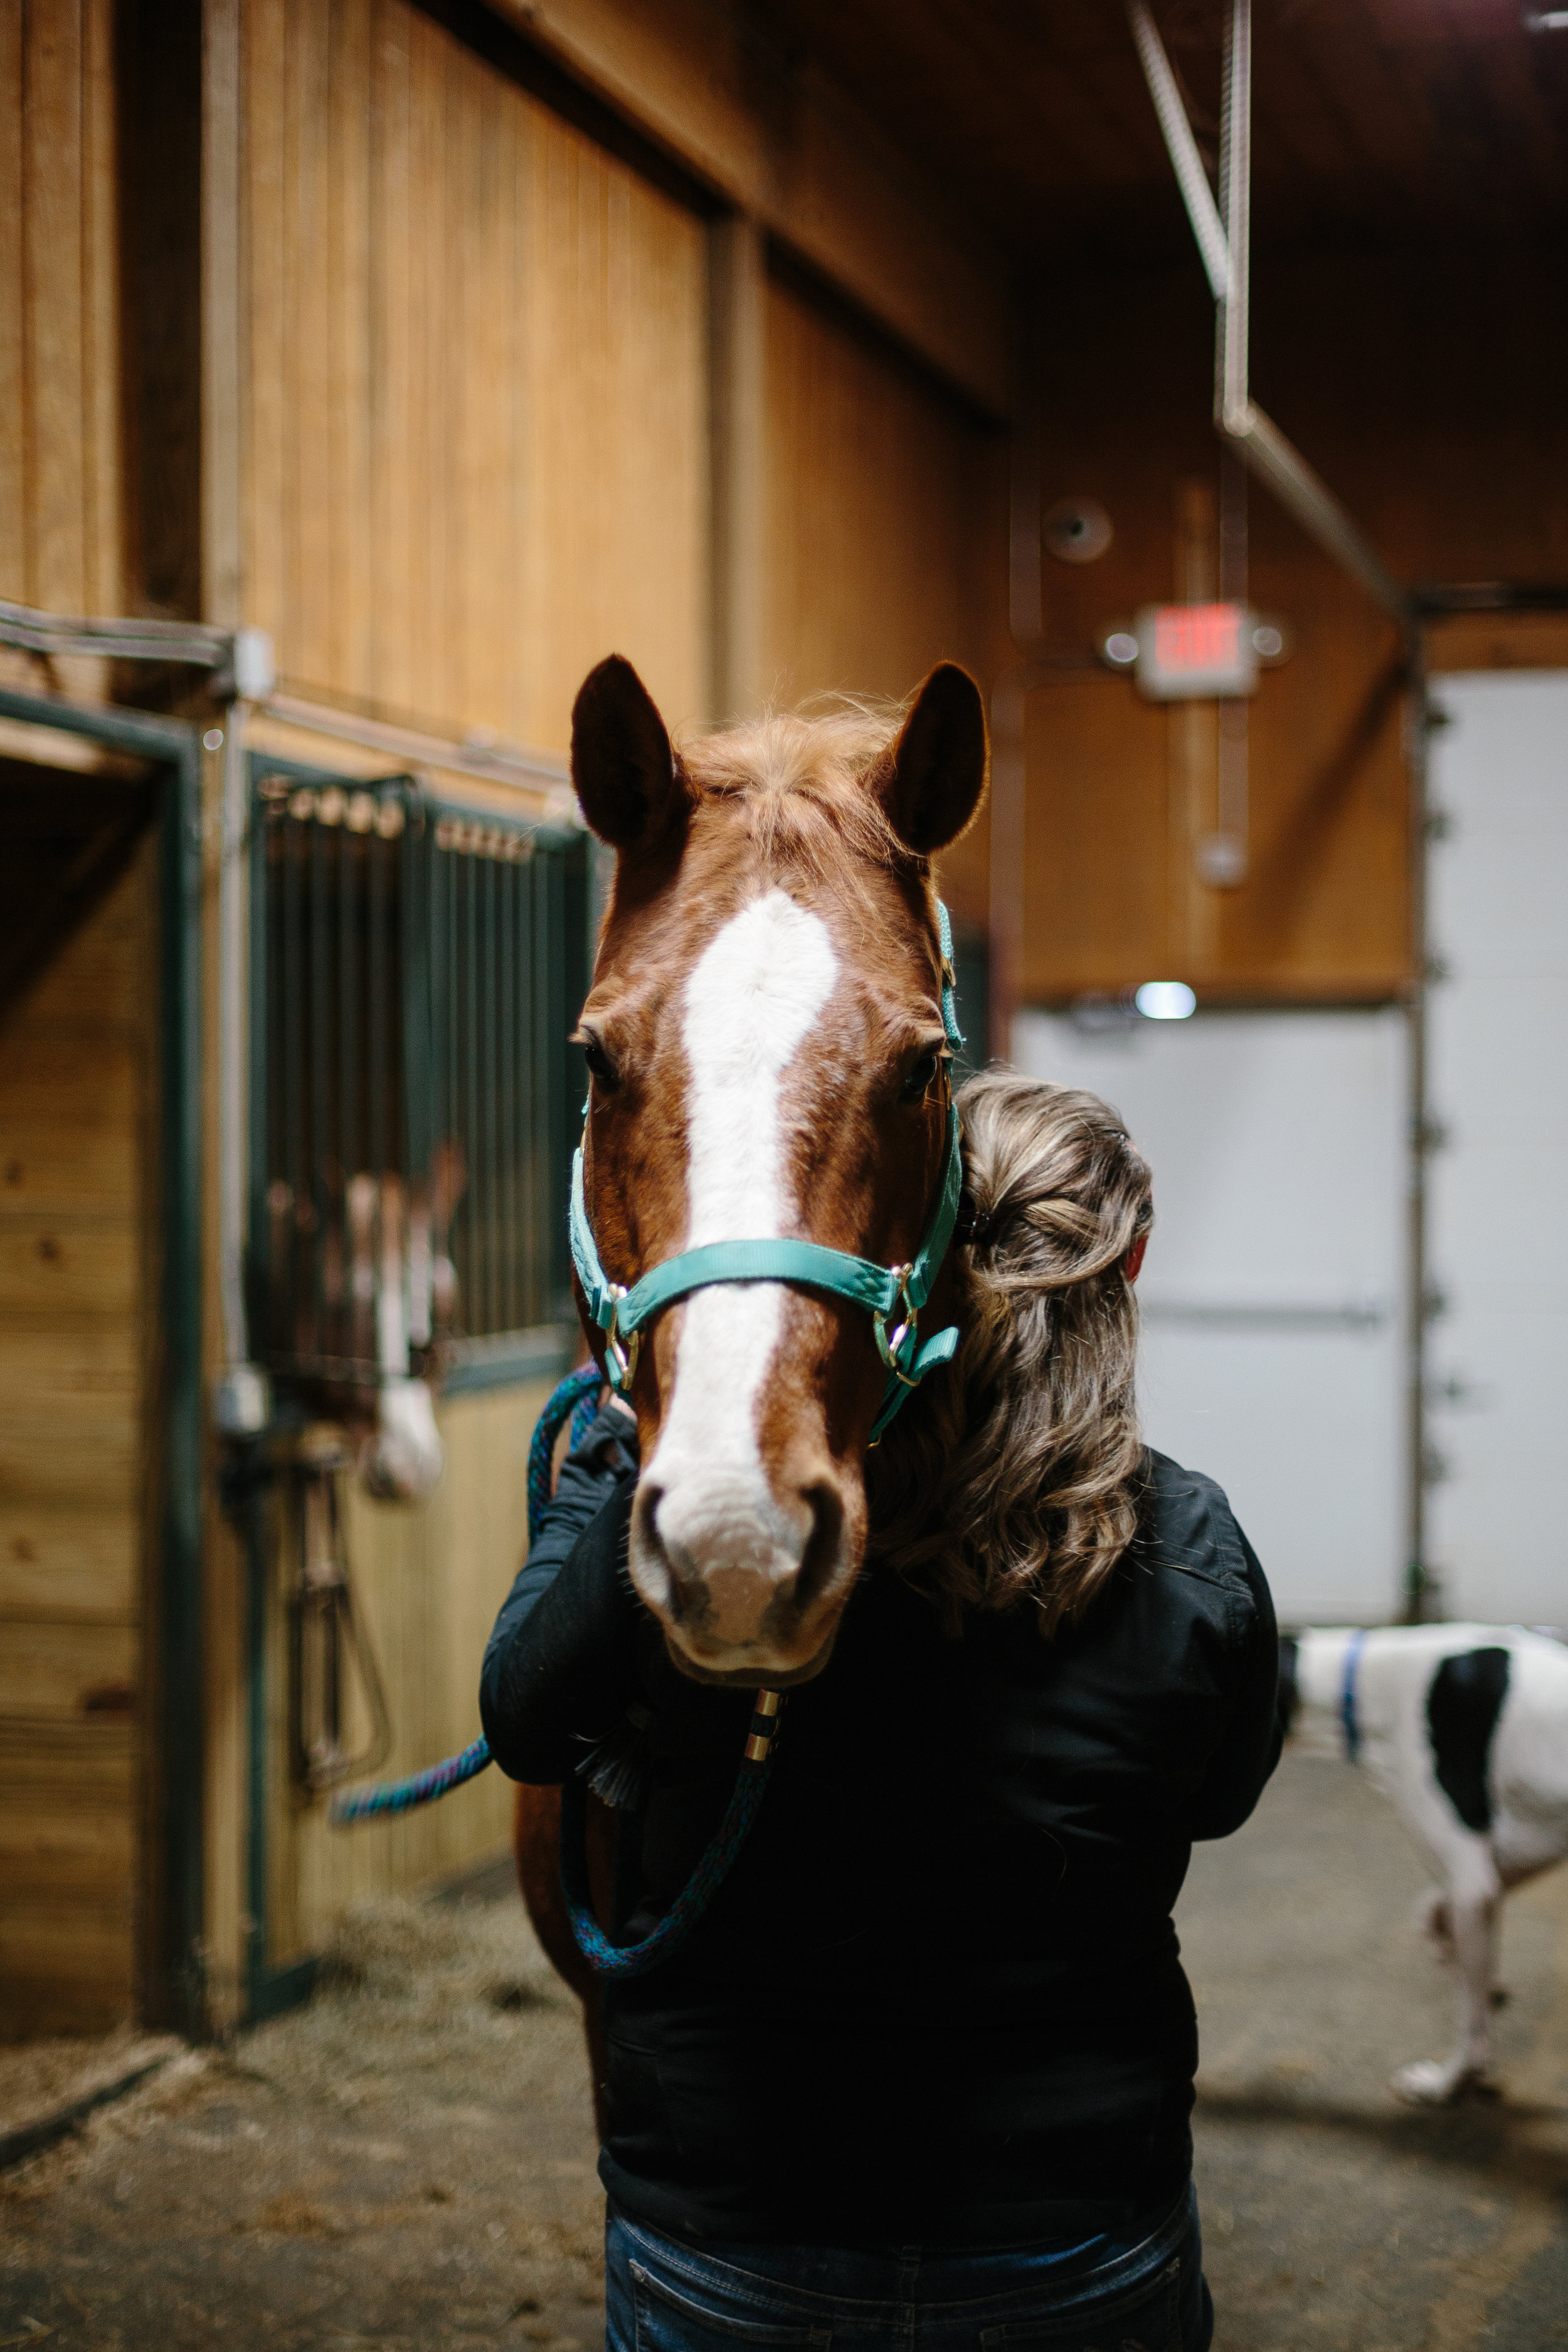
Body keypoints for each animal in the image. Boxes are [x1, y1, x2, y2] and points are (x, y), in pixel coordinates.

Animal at [1278, 1628, 1568, 2107]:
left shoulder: (1473, 1884)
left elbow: (1469, 2019)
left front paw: (1447, 2083)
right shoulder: (1514, 1858)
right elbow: (1431, 1918)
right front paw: (1477, 1978)